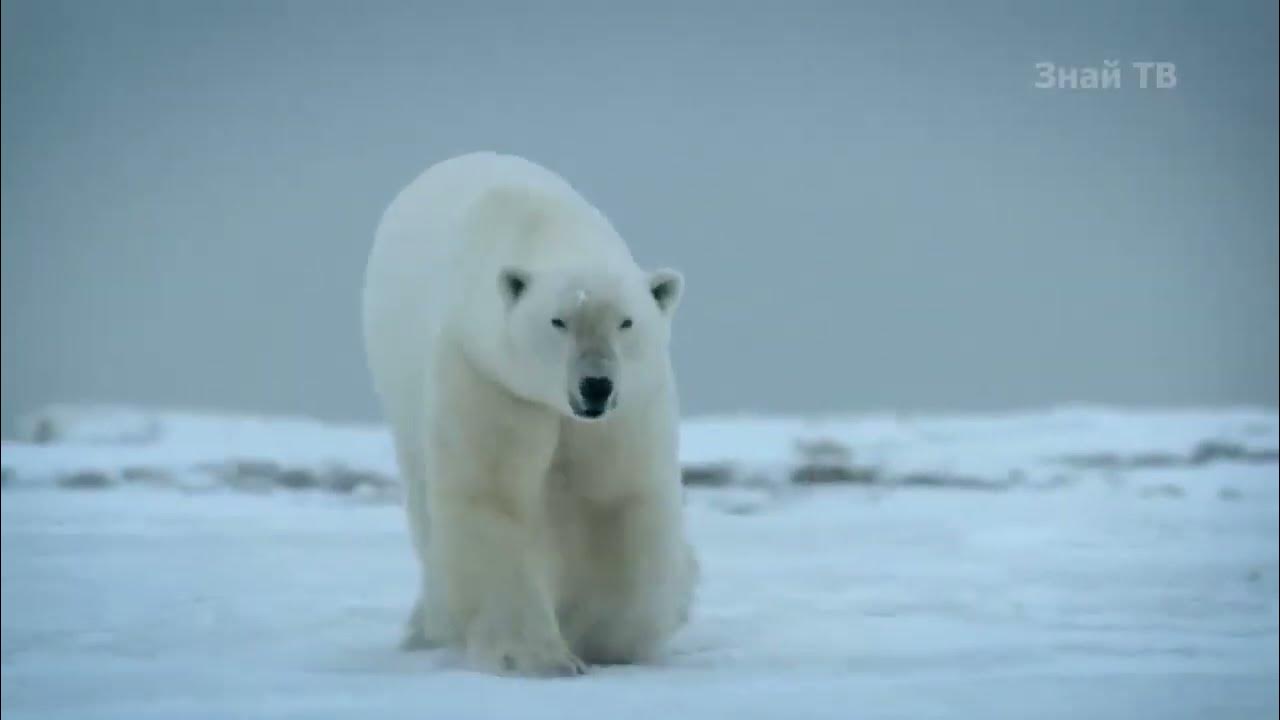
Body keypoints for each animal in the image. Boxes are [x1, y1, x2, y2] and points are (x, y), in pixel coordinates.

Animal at [361, 152, 697, 676]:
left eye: (626, 322)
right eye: (559, 321)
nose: (595, 385)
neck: (542, 222)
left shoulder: (632, 404)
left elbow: (616, 494)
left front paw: (608, 642)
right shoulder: (488, 374)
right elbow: (493, 497)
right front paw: (539, 656)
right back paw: (430, 627)